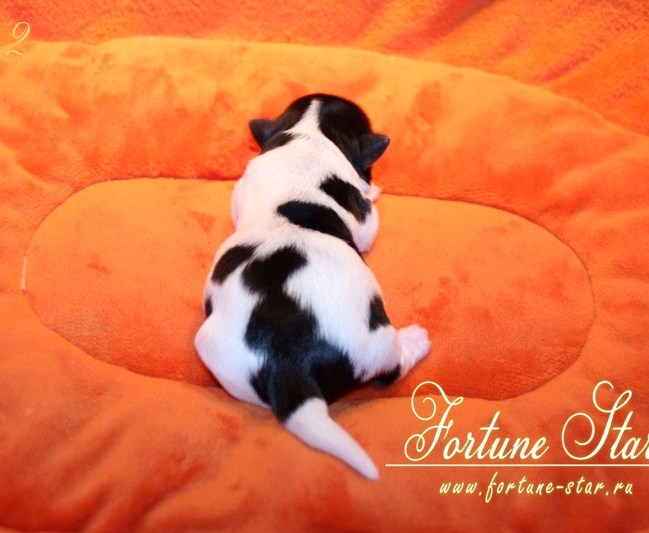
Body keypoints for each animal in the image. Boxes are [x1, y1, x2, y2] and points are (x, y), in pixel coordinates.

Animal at [195, 94, 431, 479]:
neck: (308, 133)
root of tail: (289, 366)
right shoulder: (363, 219)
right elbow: (368, 219)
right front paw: (374, 190)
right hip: (375, 342)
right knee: (391, 366)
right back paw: (416, 340)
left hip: (216, 351)